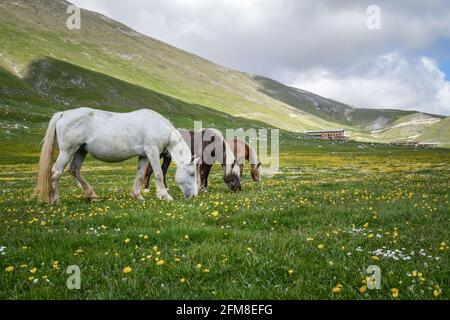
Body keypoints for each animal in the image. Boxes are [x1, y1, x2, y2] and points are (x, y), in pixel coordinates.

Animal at [37, 106, 200, 204]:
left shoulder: (144, 155)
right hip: (67, 151)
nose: (194, 196)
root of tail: (64, 113)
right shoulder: (152, 151)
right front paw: (165, 196)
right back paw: (55, 200)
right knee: (56, 172)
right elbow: (159, 174)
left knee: (74, 170)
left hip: (81, 151)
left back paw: (91, 195)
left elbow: (140, 175)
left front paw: (137, 195)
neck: (158, 125)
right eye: (192, 173)